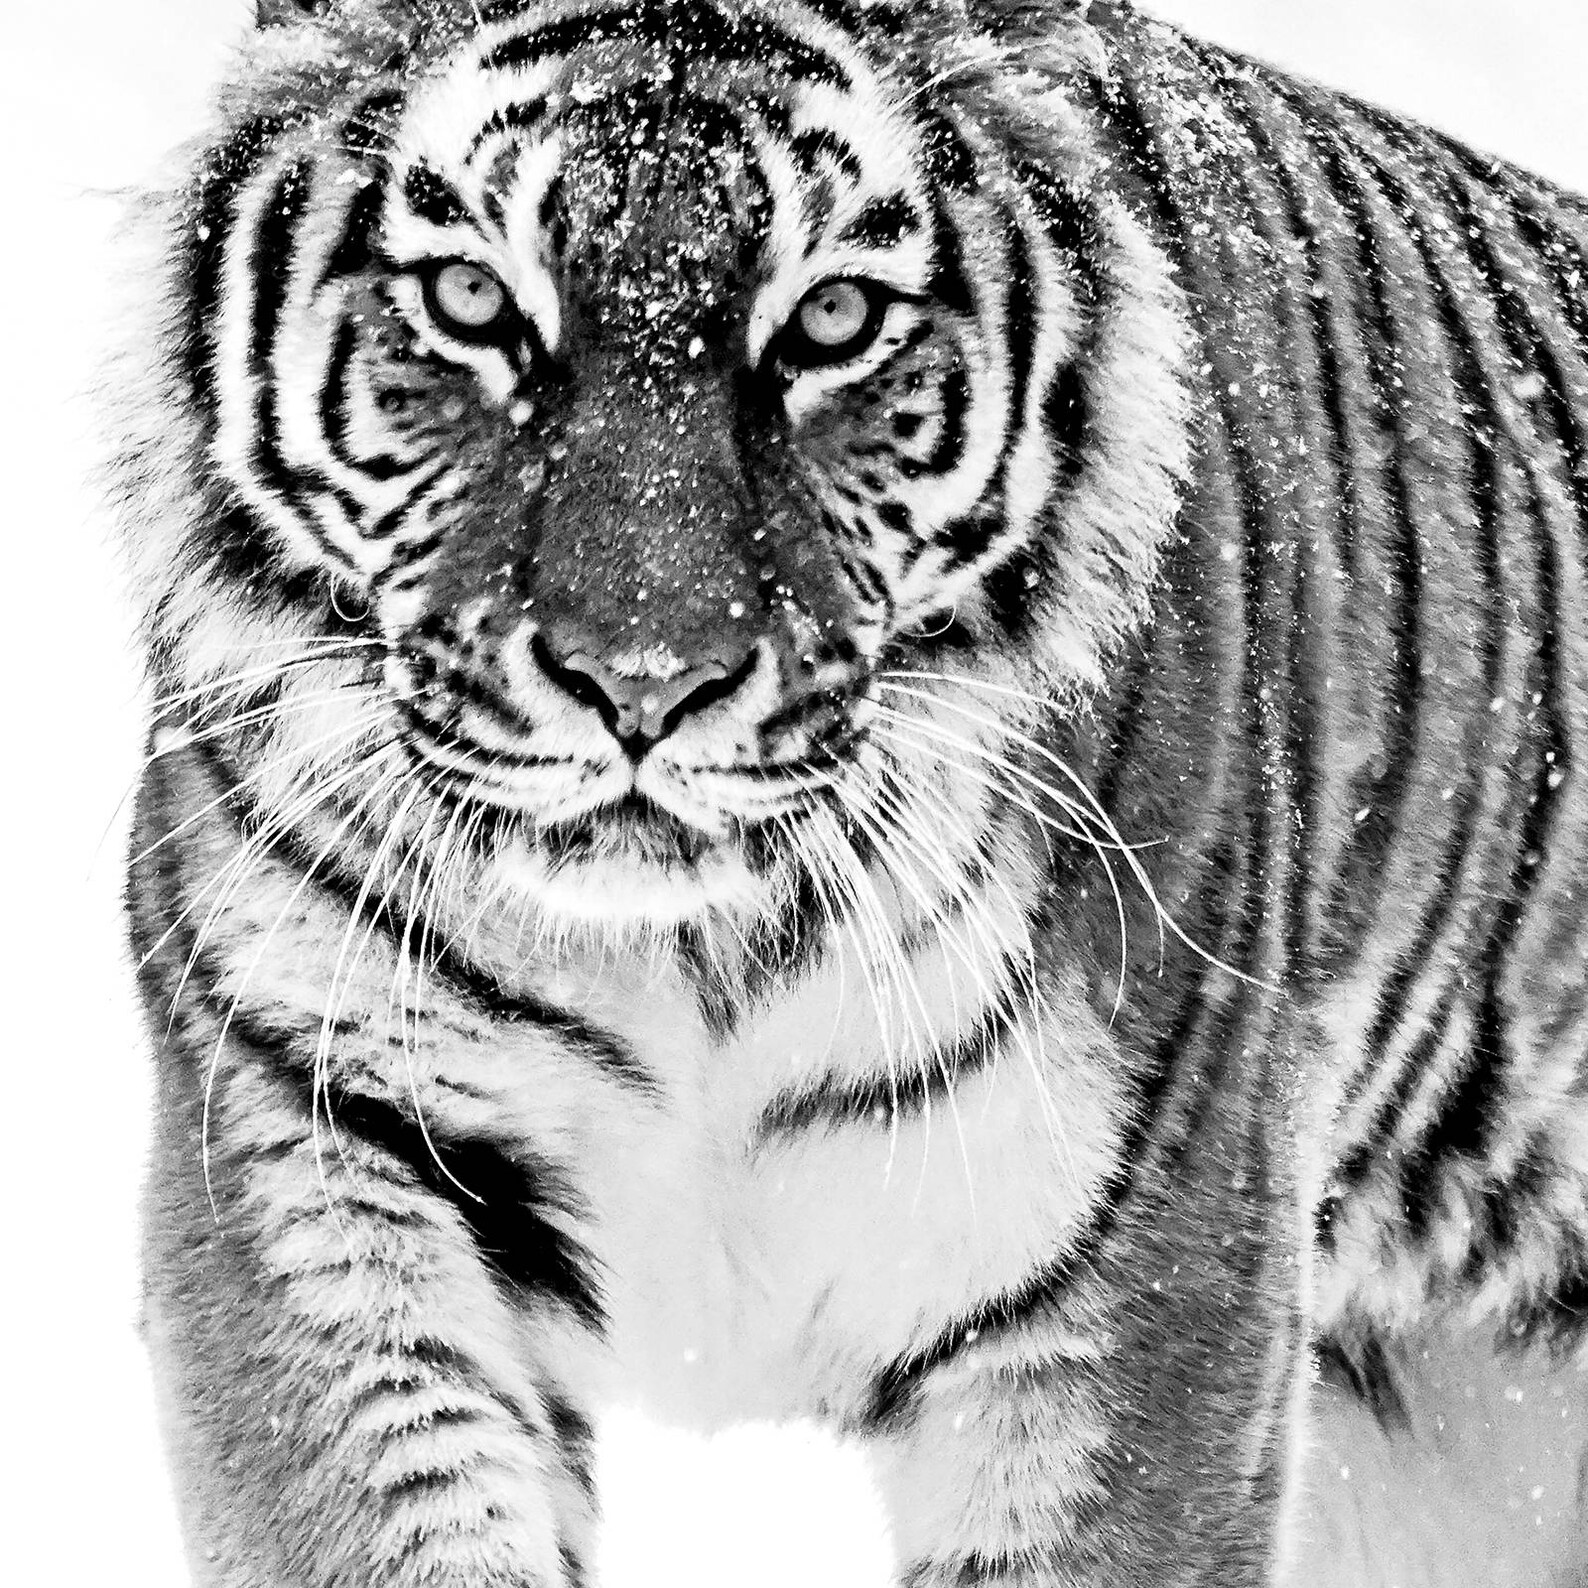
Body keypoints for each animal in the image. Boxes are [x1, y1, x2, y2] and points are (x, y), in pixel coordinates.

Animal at [107, 0, 1588, 1582]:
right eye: (470, 297)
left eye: (829, 321)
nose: (642, 682)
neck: (689, 957)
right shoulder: (313, 1141)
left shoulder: (1150, 1263)